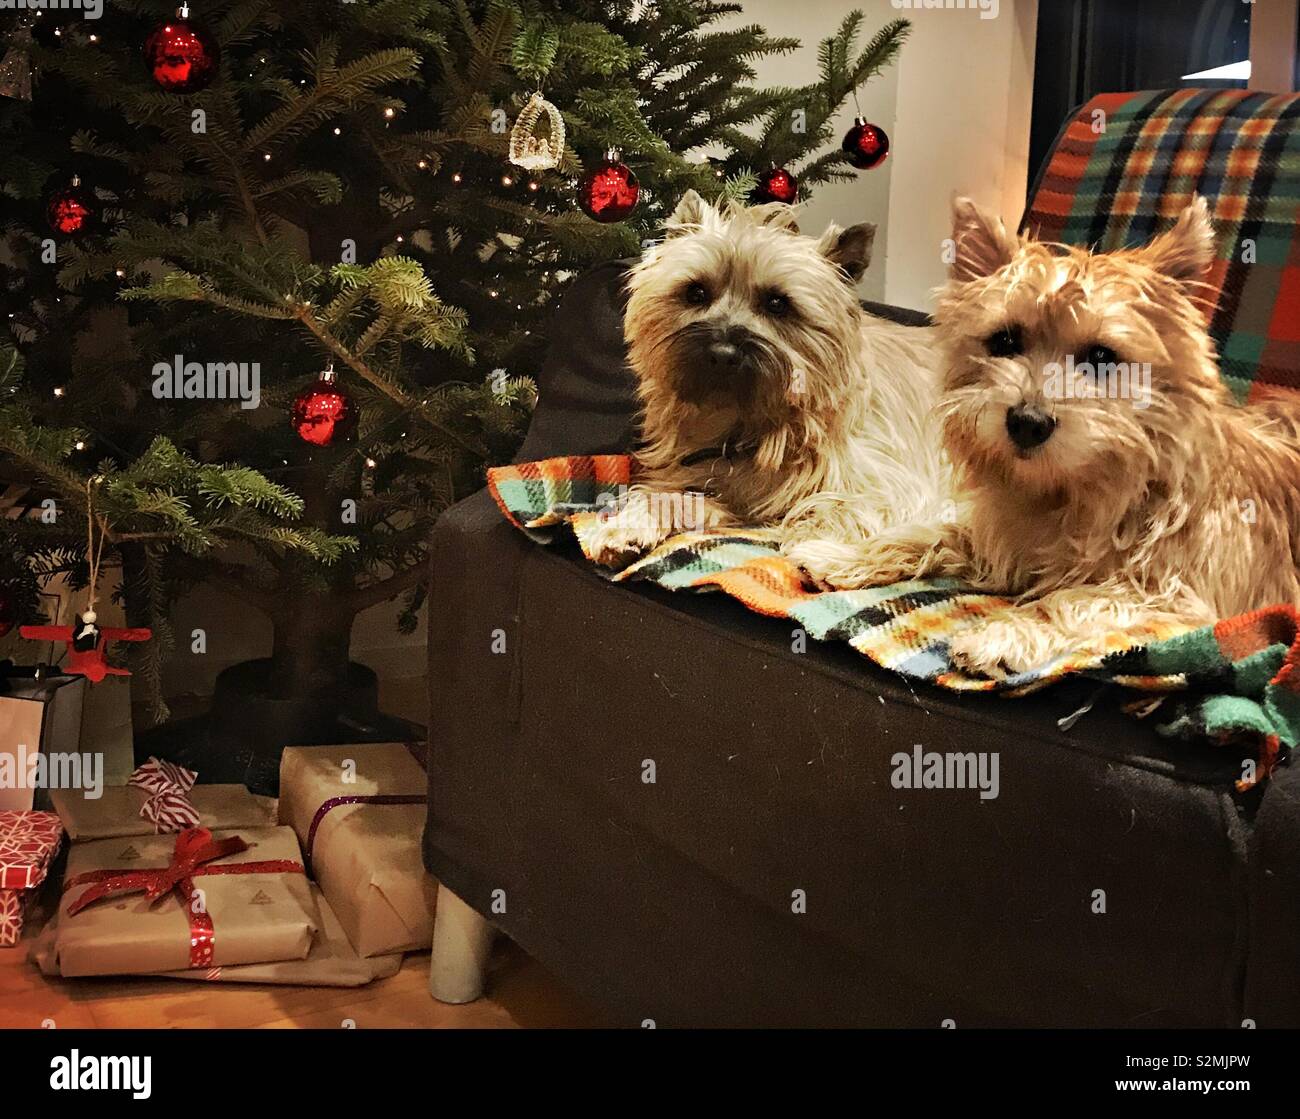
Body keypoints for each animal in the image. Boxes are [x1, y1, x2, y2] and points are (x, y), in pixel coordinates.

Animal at [585, 189, 951, 566]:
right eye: (695, 292)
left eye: (777, 303)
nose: (722, 354)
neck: (744, 428)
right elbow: (667, 497)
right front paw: (625, 528)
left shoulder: (895, 488)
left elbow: (836, 507)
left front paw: (818, 547)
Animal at [837, 196, 1300, 675]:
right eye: (1004, 341)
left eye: (1101, 357)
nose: (1028, 422)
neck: (1075, 490)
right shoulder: (1003, 539)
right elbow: (936, 532)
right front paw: (841, 554)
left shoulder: (1178, 599)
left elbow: (1072, 599)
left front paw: (1003, 633)